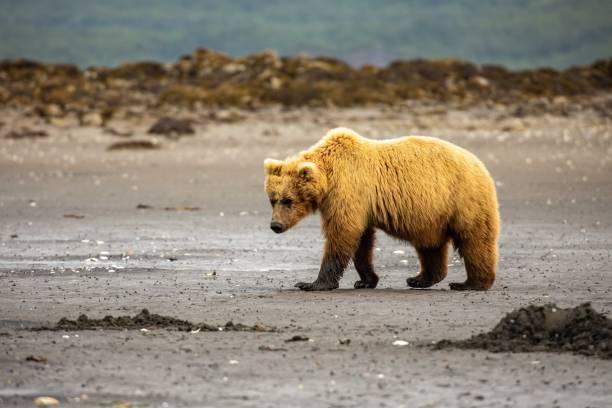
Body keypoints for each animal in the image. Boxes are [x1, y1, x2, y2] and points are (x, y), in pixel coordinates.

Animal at [262, 127, 498, 290]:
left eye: (288, 200)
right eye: (273, 199)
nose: (275, 225)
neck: (328, 177)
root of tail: (479, 163)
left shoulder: (348, 191)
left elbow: (342, 233)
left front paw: (312, 283)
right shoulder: (359, 204)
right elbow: (361, 241)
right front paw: (366, 280)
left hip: (463, 199)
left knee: (475, 240)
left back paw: (471, 283)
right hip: (431, 215)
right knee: (430, 245)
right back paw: (419, 279)